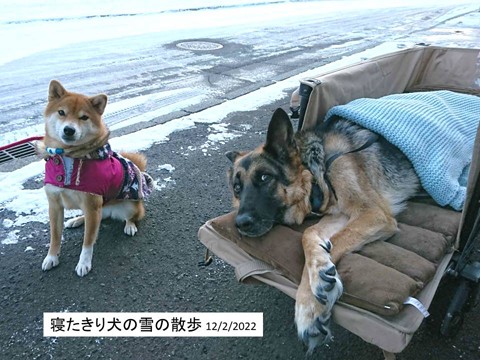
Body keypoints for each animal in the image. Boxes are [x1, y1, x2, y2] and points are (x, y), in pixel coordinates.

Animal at [38, 80, 153, 278]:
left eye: (84, 117)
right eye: (61, 112)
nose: (69, 129)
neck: (69, 156)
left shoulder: (92, 205)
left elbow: (88, 241)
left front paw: (84, 263)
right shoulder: (55, 205)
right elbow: (55, 236)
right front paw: (51, 257)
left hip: (128, 206)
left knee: (132, 217)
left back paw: (130, 226)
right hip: (98, 209)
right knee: (89, 218)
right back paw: (76, 220)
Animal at [227, 109, 418, 352]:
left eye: (264, 177)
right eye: (237, 188)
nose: (240, 224)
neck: (317, 167)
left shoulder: (373, 214)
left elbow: (339, 239)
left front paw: (314, 296)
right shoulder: (341, 215)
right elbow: (308, 235)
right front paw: (313, 292)